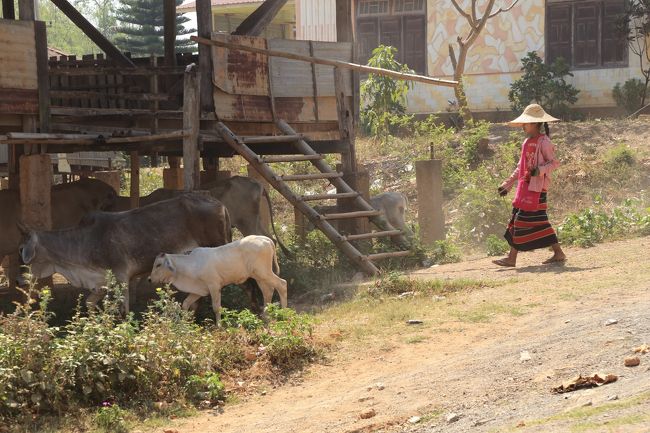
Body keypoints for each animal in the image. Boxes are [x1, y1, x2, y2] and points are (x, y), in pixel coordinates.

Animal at [151, 233, 288, 320]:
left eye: (158, 264)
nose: (149, 279)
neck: (191, 265)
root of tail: (266, 239)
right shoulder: (199, 291)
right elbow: (185, 304)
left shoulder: (214, 286)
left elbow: (216, 308)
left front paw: (219, 326)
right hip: (259, 276)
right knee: (268, 291)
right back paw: (266, 316)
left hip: (263, 272)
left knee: (282, 284)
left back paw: (284, 313)